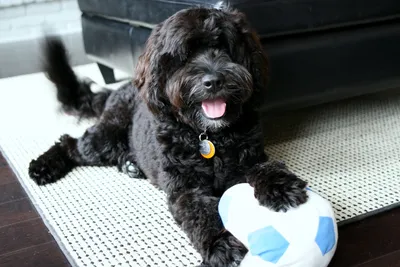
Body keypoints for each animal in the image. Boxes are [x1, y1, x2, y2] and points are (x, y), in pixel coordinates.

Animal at [29, 6, 308, 267]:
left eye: (224, 47)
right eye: (185, 55)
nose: (213, 81)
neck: (208, 136)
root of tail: (115, 90)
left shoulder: (251, 156)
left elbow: (267, 166)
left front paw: (281, 186)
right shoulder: (186, 189)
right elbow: (203, 214)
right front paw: (222, 245)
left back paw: (130, 165)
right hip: (106, 136)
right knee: (70, 143)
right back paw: (44, 166)